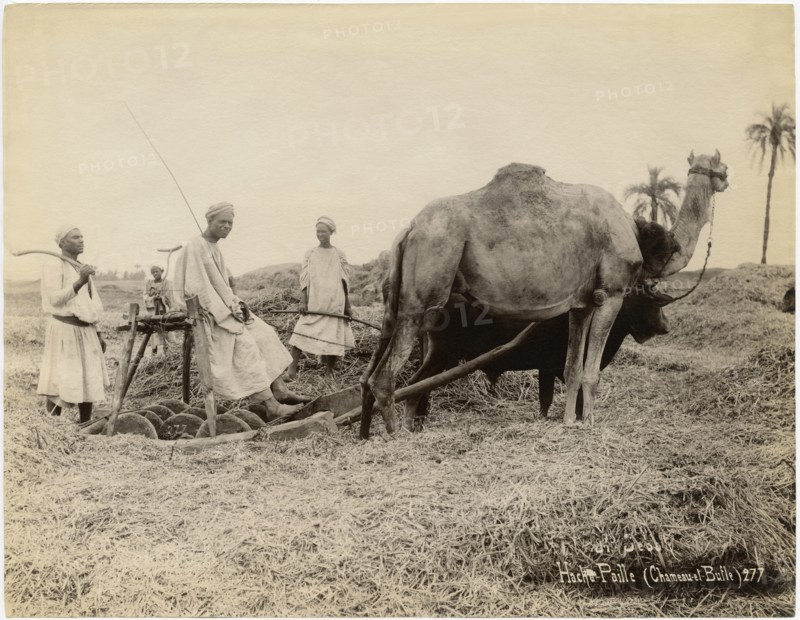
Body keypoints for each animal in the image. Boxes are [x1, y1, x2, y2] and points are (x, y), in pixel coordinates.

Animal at [360, 150, 728, 438]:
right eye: (718, 166)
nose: (727, 178)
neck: (637, 233)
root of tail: (408, 229)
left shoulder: (581, 303)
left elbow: (572, 368)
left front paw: (569, 423)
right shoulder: (612, 291)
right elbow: (592, 372)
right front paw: (590, 424)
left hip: (402, 298)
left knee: (377, 375)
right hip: (426, 288)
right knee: (386, 377)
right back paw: (395, 436)